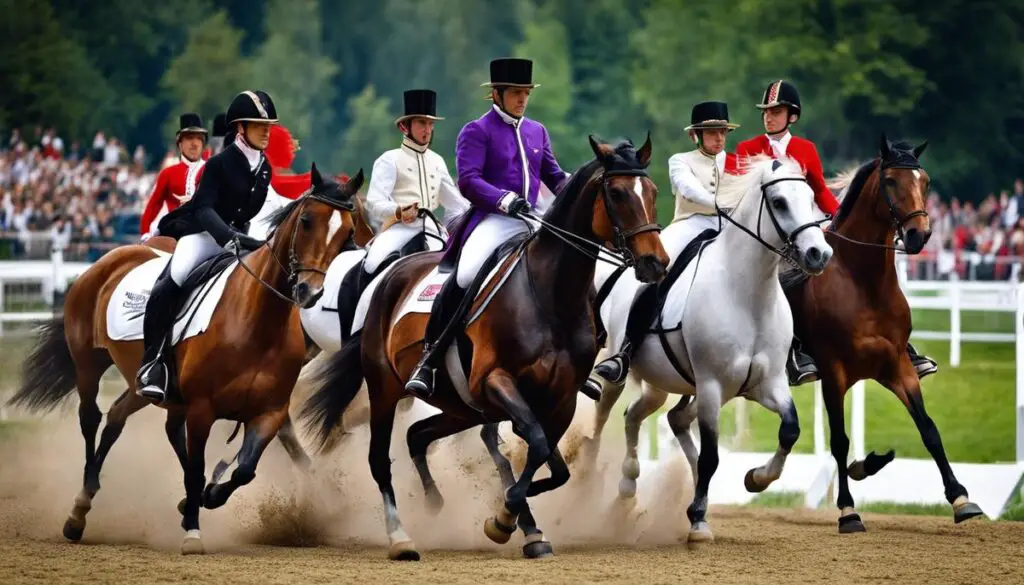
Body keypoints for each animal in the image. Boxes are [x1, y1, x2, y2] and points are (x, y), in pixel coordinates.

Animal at [8, 164, 365, 554]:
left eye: (346, 232)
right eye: (306, 221)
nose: (309, 292)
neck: (257, 321)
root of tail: (110, 259)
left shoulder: (267, 413)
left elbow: (244, 469)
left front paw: (208, 496)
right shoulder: (201, 408)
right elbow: (196, 468)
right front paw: (193, 529)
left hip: (145, 384)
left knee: (120, 417)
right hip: (89, 363)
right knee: (91, 418)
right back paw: (79, 509)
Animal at [301, 135, 669, 560]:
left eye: (652, 191)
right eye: (617, 192)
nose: (656, 263)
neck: (549, 295)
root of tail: (390, 275)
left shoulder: (559, 399)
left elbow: (551, 464)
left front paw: (519, 520)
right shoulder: (496, 381)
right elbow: (535, 449)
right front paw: (505, 518)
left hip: (461, 406)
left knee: (418, 436)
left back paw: (437, 502)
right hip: (385, 389)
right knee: (380, 458)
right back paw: (401, 538)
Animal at [583, 154, 832, 543]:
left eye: (810, 199)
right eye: (779, 203)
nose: (819, 254)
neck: (748, 294)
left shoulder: (768, 385)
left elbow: (790, 430)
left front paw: (757, 478)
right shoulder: (712, 386)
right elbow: (711, 456)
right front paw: (698, 521)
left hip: (660, 385)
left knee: (645, 416)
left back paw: (628, 483)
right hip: (619, 375)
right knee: (603, 416)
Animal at [782, 134, 984, 532]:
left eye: (926, 182)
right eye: (890, 181)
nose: (919, 235)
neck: (864, 283)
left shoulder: (897, 367)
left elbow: (929, 429)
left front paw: (960, 499)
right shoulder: (833, 373)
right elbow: (840, 441)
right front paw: (848, 511)